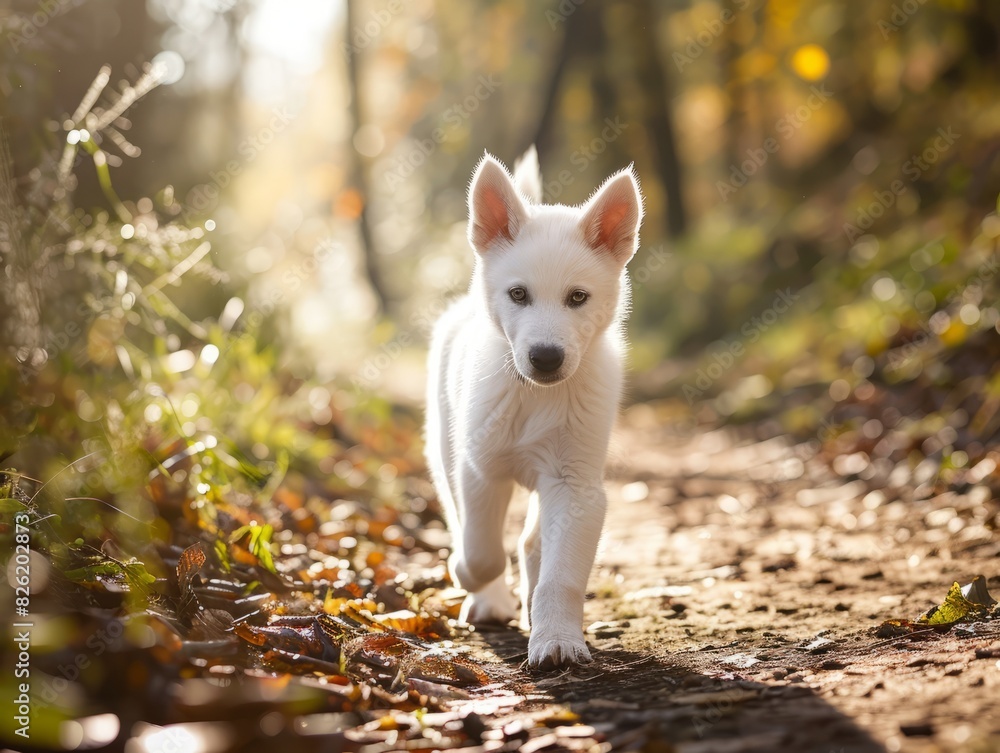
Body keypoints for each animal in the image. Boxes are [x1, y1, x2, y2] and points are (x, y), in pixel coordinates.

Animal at [426, 145, 644, 664]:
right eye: (518, 294)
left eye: (578, 297)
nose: (545, 358)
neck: (535, 397)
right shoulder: (480, 469)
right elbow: (481, 550)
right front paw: (468, 576)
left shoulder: (577, 486)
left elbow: (560, 576)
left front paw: (557, 639)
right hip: (443, 447)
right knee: (463, 520)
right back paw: (486, 599)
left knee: (530, 541)